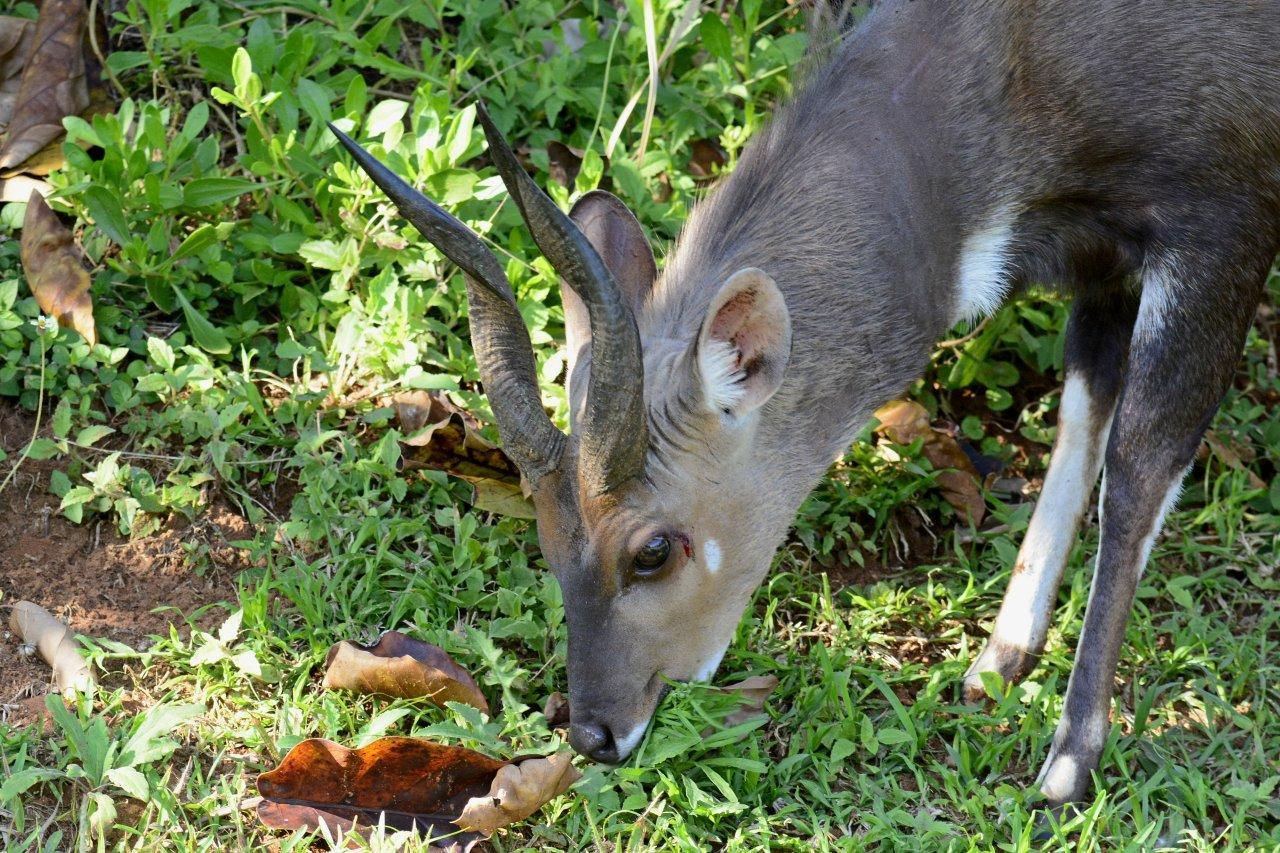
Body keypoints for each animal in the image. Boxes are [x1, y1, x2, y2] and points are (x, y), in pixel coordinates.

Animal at [335, 0, 1280, 809]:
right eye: (544, 530)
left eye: (652, 550)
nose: (598, 733)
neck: (1008, 56)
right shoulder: (1102, 256)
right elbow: (1085, 409)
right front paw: (999, 659)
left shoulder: (1222, 224)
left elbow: (1140, 465)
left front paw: (1067, 764)